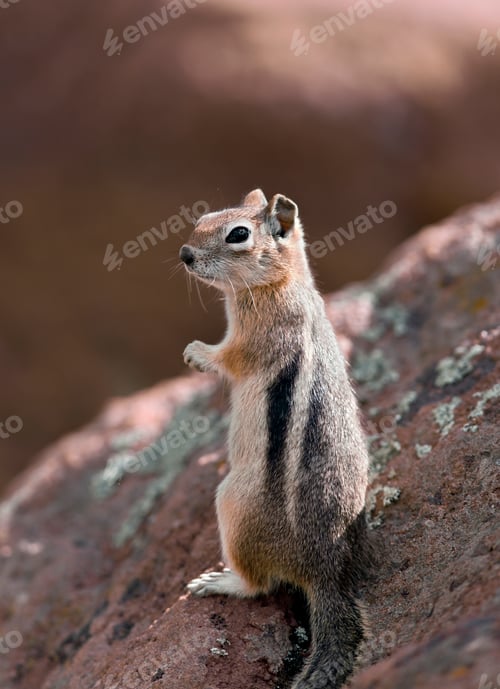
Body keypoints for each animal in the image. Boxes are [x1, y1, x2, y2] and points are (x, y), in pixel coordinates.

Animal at [180, 189, 371, 689]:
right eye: (205, 217)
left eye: (238, 234)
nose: (185, 254)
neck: (281, 283)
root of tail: (325, 571)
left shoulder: (255, 338)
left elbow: (228, 358)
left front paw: (195, 352)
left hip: (232, 505)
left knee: (260, 584)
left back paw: (219, 582)